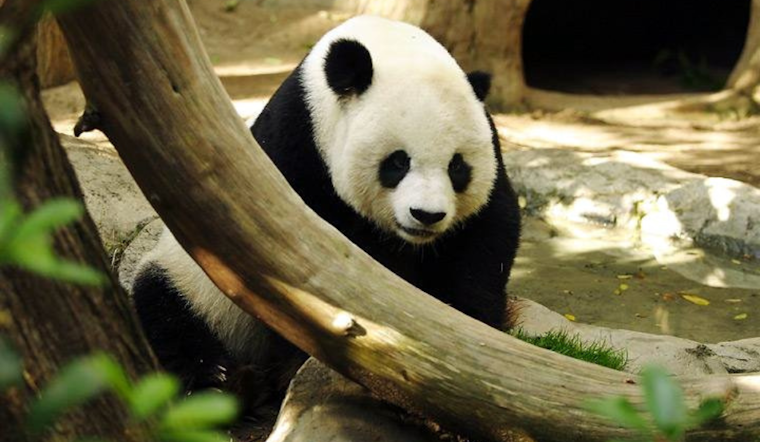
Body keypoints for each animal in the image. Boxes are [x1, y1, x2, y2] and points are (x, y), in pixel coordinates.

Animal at [131, 15, 521, 410]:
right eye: (398, 162)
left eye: (457, 167)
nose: (426, 215)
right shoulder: (296, 152)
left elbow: (487, 237)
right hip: (190, 282)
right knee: (167, 313)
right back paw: (223, 381)